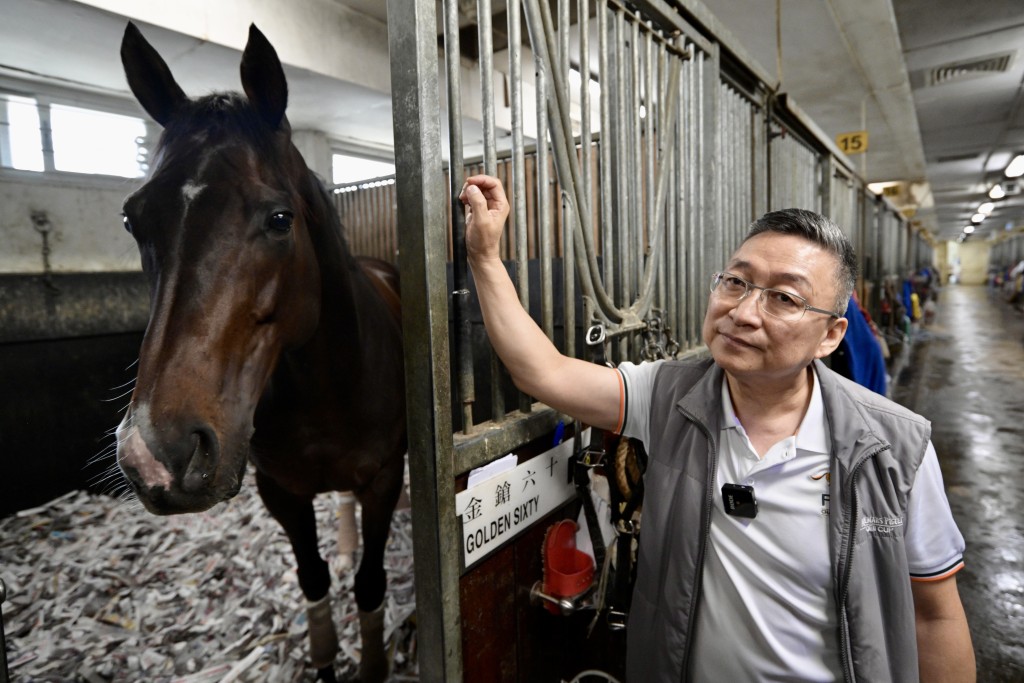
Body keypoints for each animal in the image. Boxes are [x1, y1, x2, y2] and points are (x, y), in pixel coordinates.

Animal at [115, 22, 407, 683]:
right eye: (131, 219)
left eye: (279, 218)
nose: (157, 454)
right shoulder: (282, 493)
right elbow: (313, 578)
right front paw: (324, 660)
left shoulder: (384, 480)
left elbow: (371, 584)